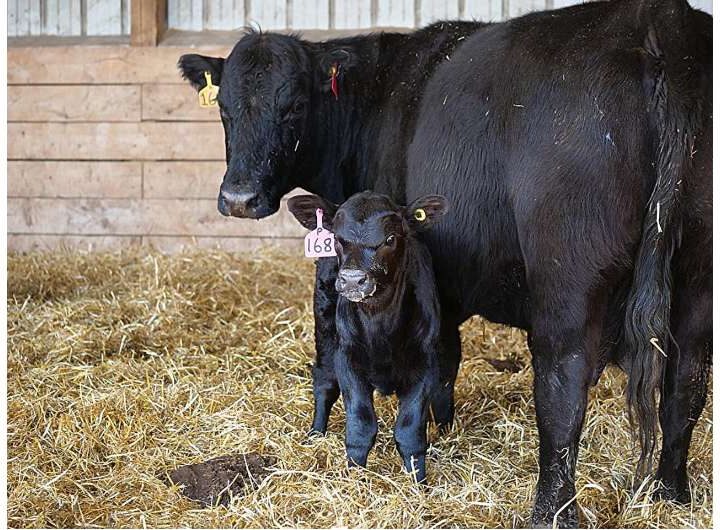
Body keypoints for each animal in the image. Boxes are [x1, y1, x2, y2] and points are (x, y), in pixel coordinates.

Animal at [288, 191, 448, 484]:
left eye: (390, 238)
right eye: (338, 238)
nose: (352, 280)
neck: (379, 322)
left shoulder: (426, 363)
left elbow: (409, 431)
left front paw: (418, 483)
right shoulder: (347, 358)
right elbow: (360, 426)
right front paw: (354, 479)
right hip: (324, 322)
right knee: (324, 381)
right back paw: (315, 434)